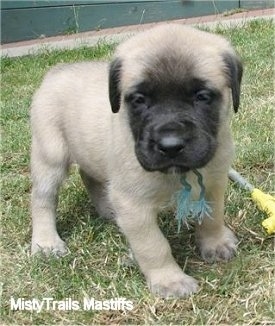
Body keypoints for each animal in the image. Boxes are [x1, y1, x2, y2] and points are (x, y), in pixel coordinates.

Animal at [30, 23, 244, 298]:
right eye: (140, 100)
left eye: (202, 97)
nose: (170, 146)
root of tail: (56, 71)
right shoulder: (134, 205)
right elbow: (153, 245)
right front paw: (170, 280)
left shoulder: (214, 183)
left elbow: (212, 217)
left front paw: (215, 243)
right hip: (51, 156)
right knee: (43, 199)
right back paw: (46, 242)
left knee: (90, 176)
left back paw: (107, 209)